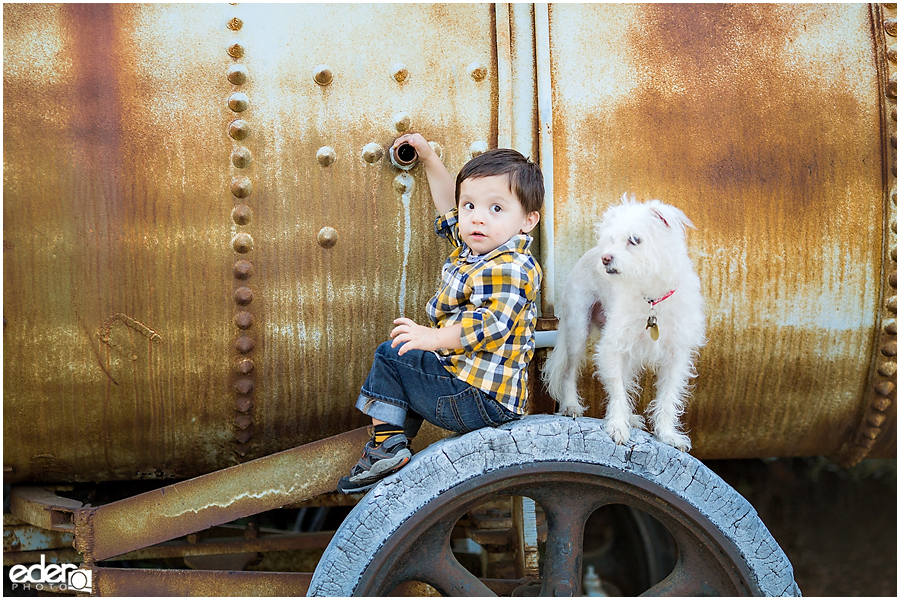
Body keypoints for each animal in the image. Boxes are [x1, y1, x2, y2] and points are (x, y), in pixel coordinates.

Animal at [544, 193, 708, 450]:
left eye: (634, 240)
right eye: (611, 240)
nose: (605, 258)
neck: (651, 297)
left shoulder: (676, 356)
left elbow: (667, 396)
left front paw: (667, 435)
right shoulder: (612, 347)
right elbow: (617, 389)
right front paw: (618, 426)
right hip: (577, 331)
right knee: (569, 373)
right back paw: (571, 405)